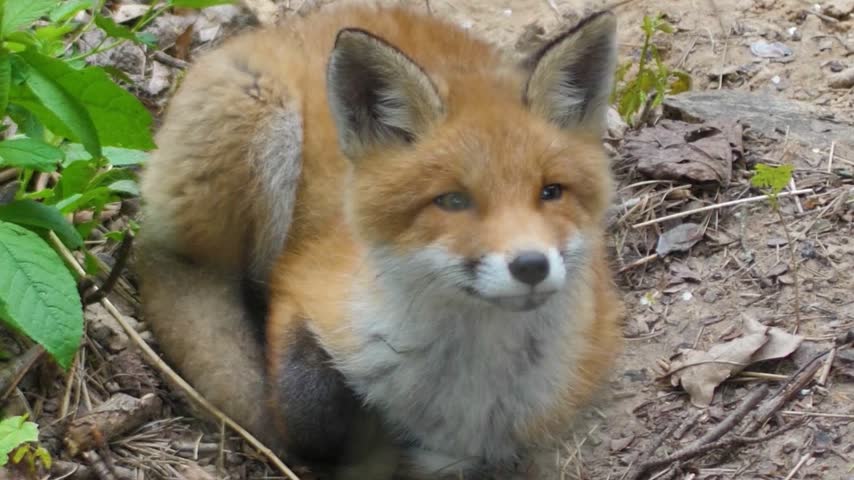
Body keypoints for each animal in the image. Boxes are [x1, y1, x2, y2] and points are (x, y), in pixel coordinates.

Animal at [136, 2, 623, 479]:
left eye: (551, 191)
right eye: (453, 200)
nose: (531, 265)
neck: (458, 385)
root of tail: (298, 21)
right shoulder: (301, 288)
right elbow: (310, 408)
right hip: (251, 128)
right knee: (181, 267)